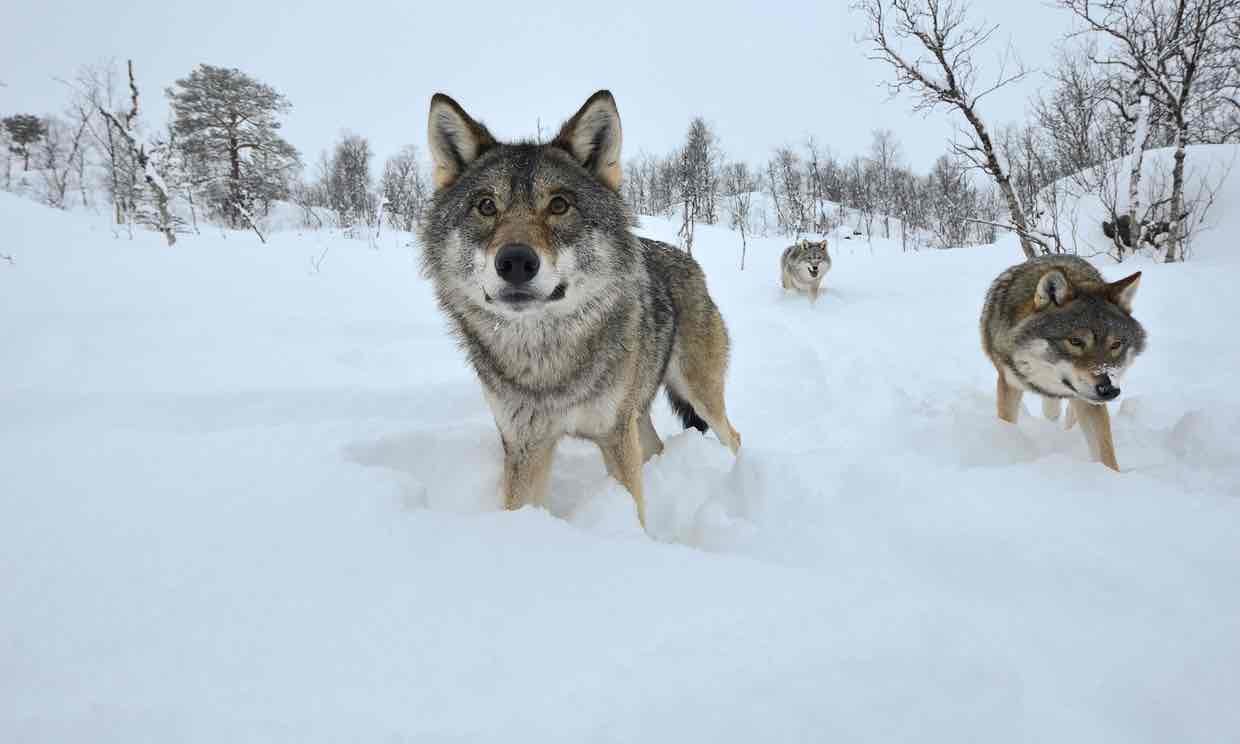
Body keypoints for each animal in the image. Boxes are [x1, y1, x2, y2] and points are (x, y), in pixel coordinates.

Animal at [421, 88, 739, 528]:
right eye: (486, 206)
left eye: (559, 205)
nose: (515, 262)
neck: (546, 361)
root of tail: (688, 260)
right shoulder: (526, 444)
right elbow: (520, 506)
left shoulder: (614, 437)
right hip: (638, 414)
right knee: (656, 446)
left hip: (698, 395)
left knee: (733, 436)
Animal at [982, 252, 1145, 468]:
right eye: (1075, 341)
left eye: (1116, 344)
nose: (1109, 390)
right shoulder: (1009, 384)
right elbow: (1007, 423)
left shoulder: (1090, 401)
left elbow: (1105, 454)